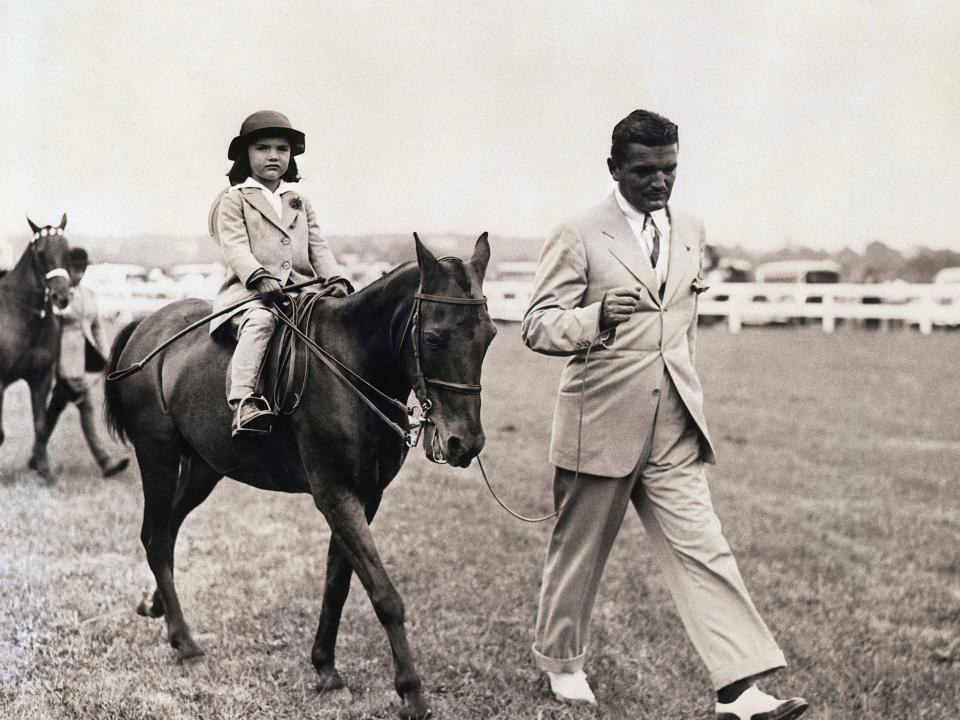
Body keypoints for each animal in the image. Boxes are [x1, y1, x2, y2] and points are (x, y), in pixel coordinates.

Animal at [0, 217, 71, 480]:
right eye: (40, 254)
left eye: (67, 252)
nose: (61, 297)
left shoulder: (41, 377)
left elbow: (41, 426)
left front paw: (44, 471)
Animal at [105, 233, 496, 716]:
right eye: (434, 337)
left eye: (490, 336)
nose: (466, 443)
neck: (352, 363)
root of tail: (146, 324)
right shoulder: (335, 495)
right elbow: (384, 595)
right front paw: (411, 693)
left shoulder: (364, 497)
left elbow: (338, 584)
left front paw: (326, 668)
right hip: (157, 456)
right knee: (156, 536)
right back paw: (187, 644)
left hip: (204, 468)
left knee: (166, 531)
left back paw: (157, 607)